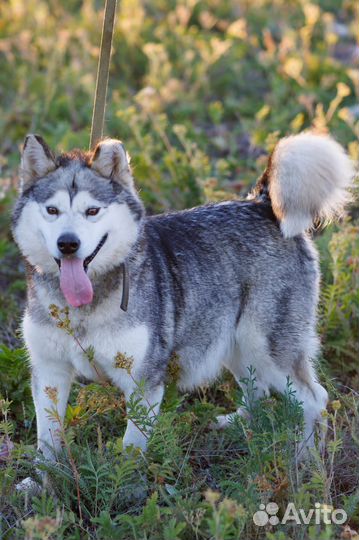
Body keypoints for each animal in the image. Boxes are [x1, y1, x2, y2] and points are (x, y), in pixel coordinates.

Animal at [13, 132, 354, 460]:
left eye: (92, 211)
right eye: (52, 210)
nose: (68, 244)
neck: (83, 309)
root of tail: (262, 203)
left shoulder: (142, 379)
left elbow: (131, 448)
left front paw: (127, 476)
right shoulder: (49, 371)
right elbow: (48, 440)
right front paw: (44, 476)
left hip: (269, 348)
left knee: (315, 398)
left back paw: (306, 458)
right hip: (236, 342)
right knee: (256, 389)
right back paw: (238, 425)